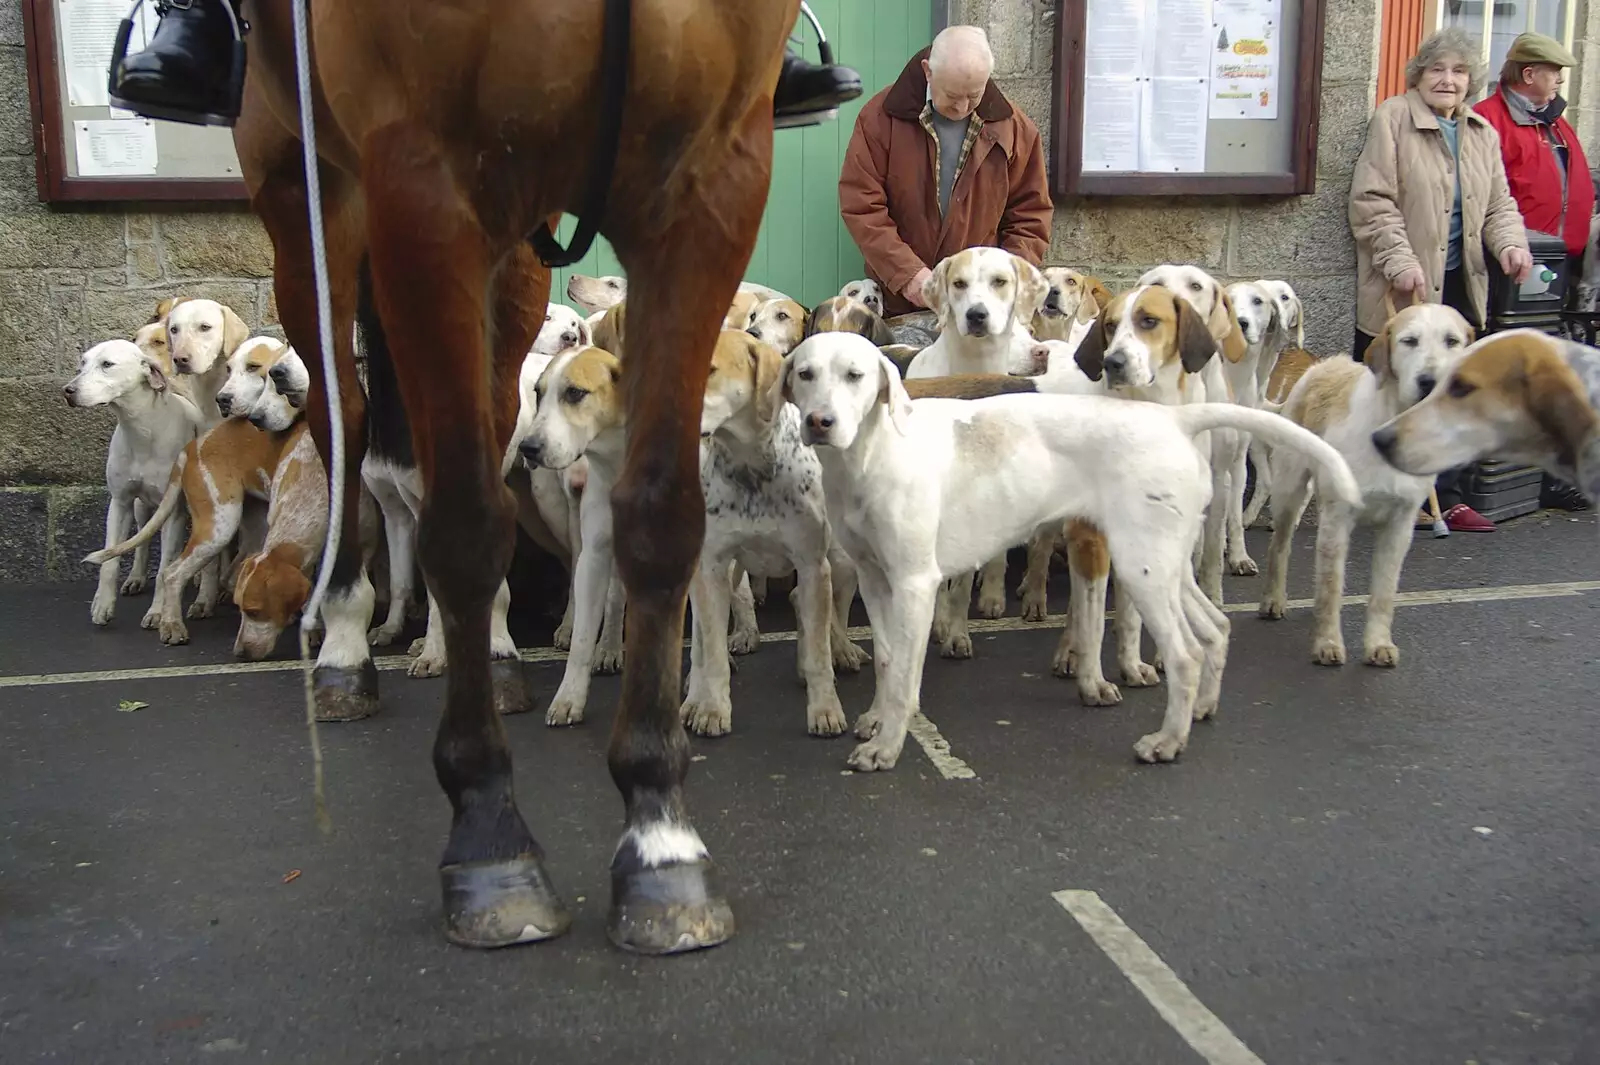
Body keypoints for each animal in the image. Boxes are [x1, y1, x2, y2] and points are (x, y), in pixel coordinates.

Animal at [233, 0, 800, 953]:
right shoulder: (423, 177)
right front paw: (489, 829)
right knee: (345, 411)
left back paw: (497, 647)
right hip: (298, 182)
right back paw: (348, 640)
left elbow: (659, 522)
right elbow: (461, 527)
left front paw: (659, 830)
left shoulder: (710, 175)